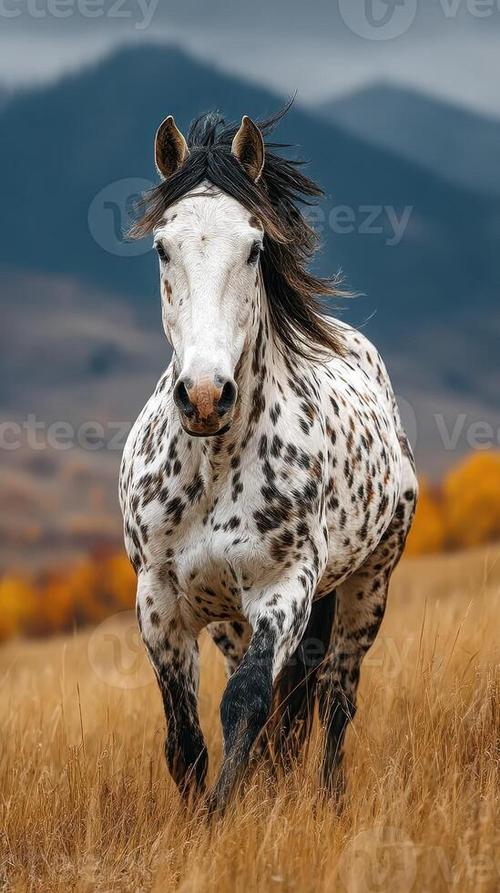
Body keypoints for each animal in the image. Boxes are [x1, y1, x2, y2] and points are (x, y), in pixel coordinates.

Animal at [119, 108, 418, 813]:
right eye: (163, 247)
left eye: (254, 247)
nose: (205, 396)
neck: (210, 470)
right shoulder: (159, 601)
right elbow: (184, 740)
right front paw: (204, 818)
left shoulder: (286, 589)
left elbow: (247, 704)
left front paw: (223, 817)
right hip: (228, 619)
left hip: (368, 585)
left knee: (336, 699)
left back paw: (331, 801)